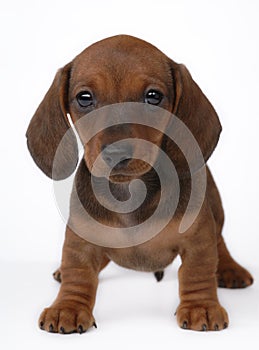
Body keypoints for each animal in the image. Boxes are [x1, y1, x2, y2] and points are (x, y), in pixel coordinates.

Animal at [25, 35, 254, 334]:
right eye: (84, 98)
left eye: (153, 96)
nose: (116, 153)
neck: (130, 192)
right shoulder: (80, 239)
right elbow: (79, 272)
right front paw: (68, 308)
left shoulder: (198, 237)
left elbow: (197, 270)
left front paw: (200, 306)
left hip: (216, 207)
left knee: (220, 240)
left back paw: (229, 268)